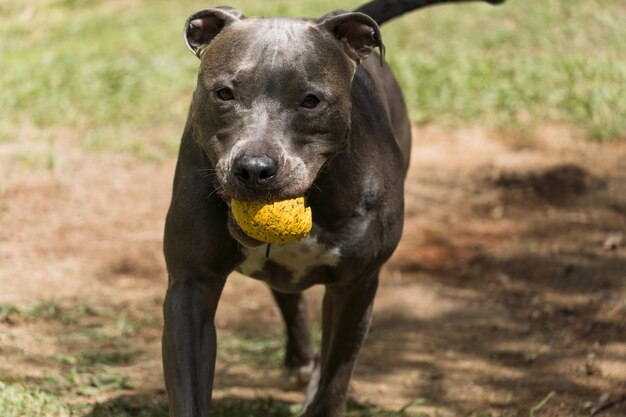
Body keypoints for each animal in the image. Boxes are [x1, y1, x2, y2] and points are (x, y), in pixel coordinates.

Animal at [162, 0, 502, 416]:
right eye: (224, 93)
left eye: (311, 101)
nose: (254, 168)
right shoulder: (191, 286)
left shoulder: (354, 286)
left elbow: (333, 382)